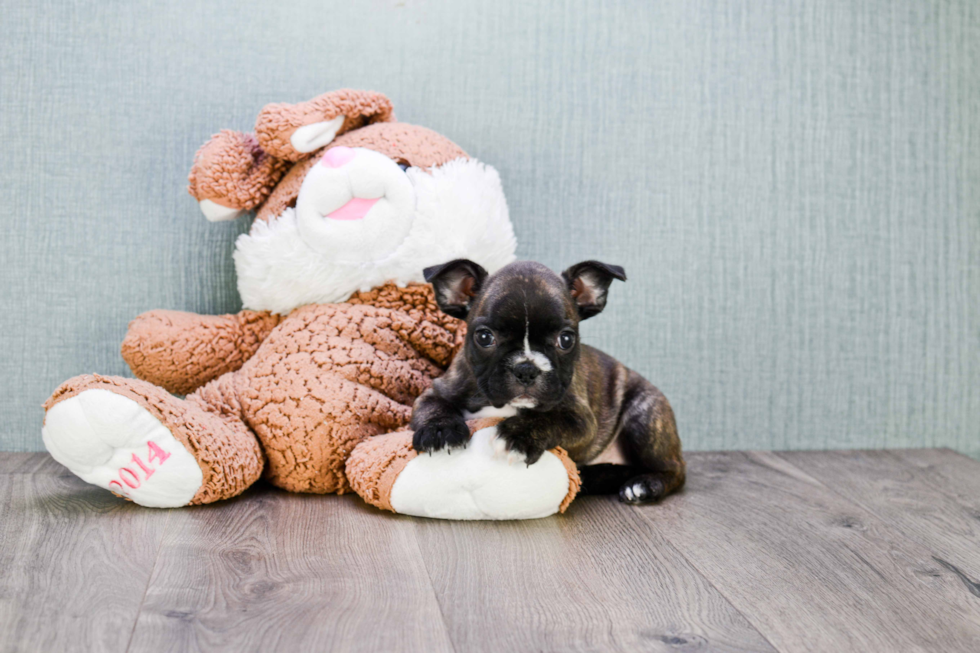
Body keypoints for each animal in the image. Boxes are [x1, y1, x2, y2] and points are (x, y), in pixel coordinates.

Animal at [410, 258, 684, 504]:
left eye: (566, 339)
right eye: (485, 337)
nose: (526, 368)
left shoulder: (582, 420)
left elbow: (548, 419)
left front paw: (519, 436)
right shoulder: (437, 390)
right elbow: (434, 406)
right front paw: (439, 430)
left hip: (644, 418)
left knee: (676, 470)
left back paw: (643, 485)